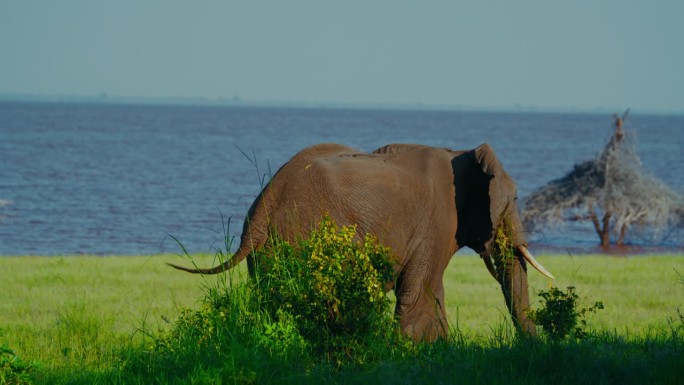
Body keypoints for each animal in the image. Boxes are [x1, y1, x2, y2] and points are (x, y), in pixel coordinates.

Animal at [168, 142, 552, 340]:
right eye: (513, 201)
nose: (532, 347)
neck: (461, 152)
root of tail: (261, 207)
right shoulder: (437, 222)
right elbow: (423, 292)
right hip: (306, 237)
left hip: (273, 249)